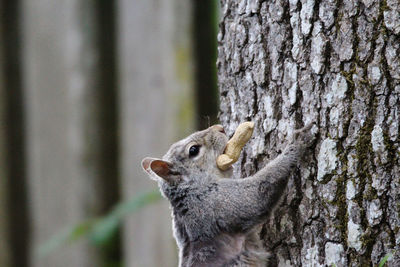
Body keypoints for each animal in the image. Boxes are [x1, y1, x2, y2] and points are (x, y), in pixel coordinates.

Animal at [142, 124, 314, 267]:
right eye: (193, 150)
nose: (220, 127)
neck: (192, 188)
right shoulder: (214, 202)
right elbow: (257, 195)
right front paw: (296, 143)